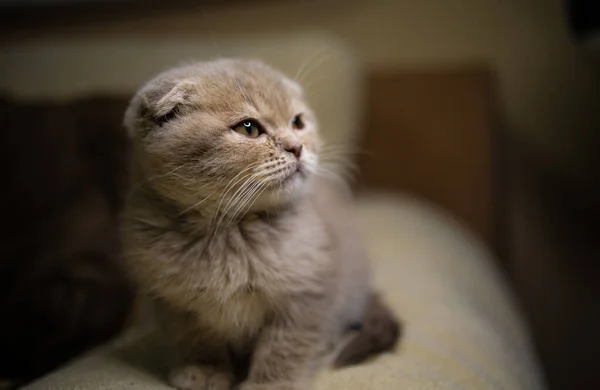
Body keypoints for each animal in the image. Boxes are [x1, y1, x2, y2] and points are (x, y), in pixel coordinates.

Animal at [123, 58, 400, 390]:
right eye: (249, 128)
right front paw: (205, 369)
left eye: (297, 122)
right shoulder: (175, 301)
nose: (296, 147)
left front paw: (269, 384)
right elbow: (198, 338)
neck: (228, 231)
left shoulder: (308, 294)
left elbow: (285, 346)